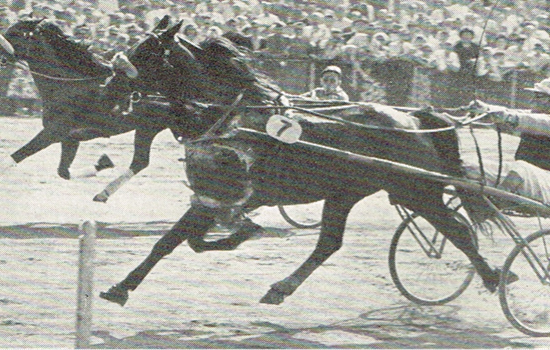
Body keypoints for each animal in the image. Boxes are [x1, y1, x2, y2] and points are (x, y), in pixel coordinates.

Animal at [99, 21, 504, 306]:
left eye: (146, 52)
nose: (108, 88)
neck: (233, 116)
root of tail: (415, 118)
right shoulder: (212, 197)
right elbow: (181, 241)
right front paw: (121, 287)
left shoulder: (219, 193)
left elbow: (174, 239)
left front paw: (121, 287)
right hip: (348, 193)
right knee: (329, 243)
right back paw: (281, 287)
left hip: (415, 190)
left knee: (459, 231)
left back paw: (495, 277)